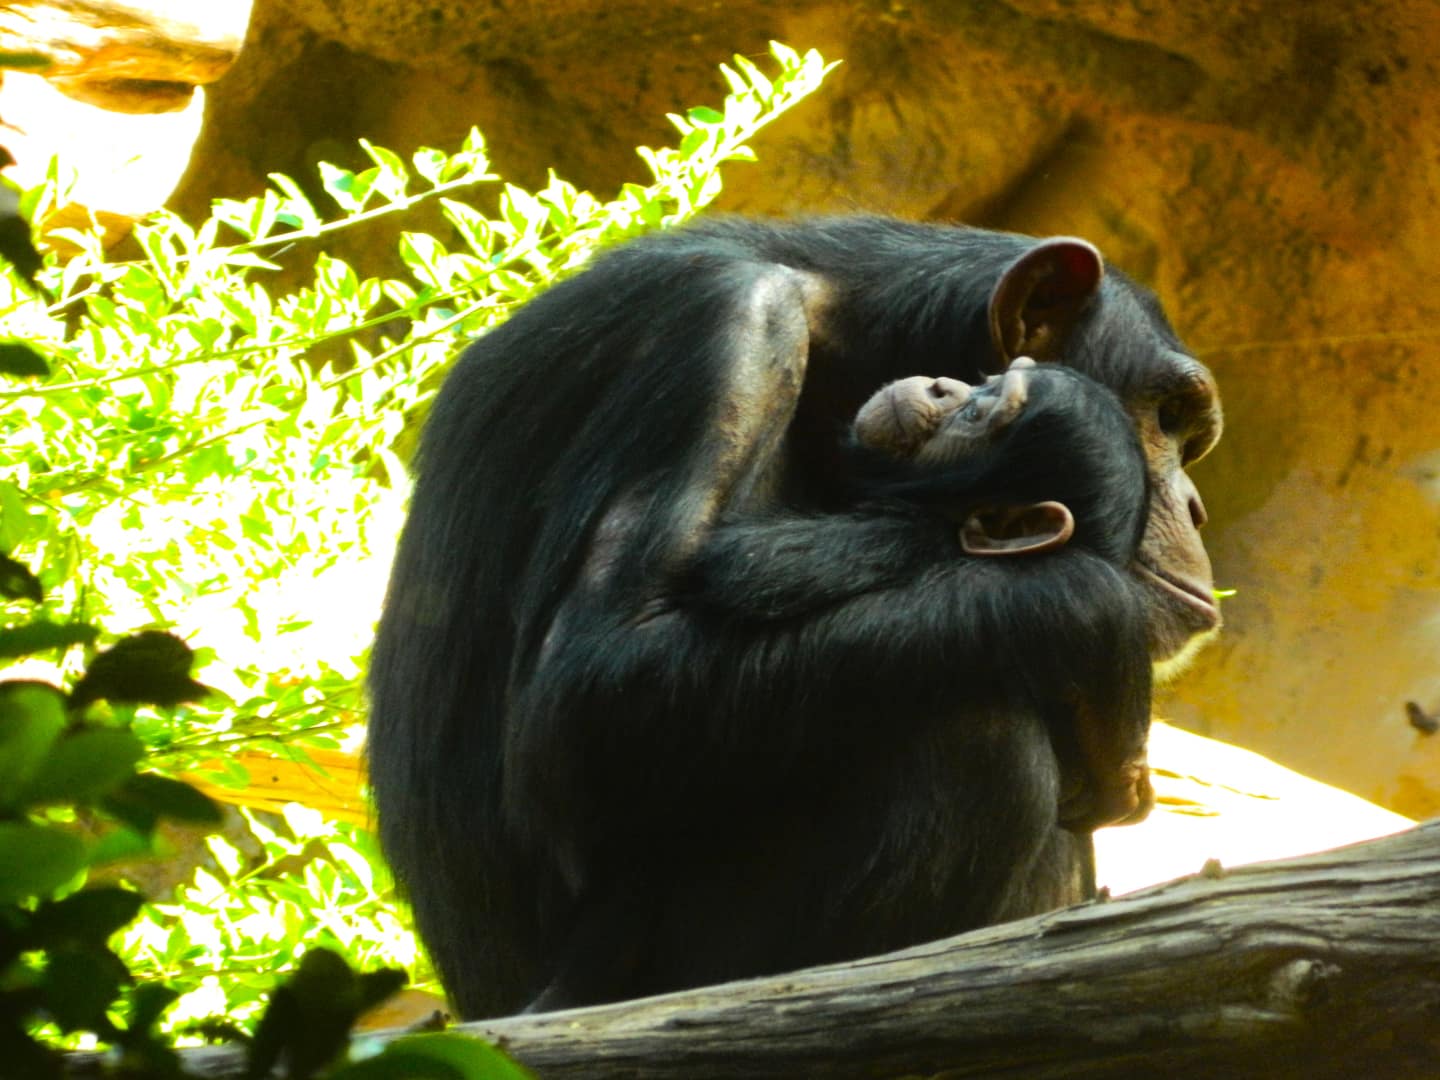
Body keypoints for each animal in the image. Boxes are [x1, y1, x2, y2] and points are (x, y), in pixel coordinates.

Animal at [365, 216, 1221, 1019]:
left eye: (1189, 432)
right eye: (1166, 415)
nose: (1196, 506)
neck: (845, 335)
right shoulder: (728, 324)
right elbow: (588, 692)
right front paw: (1095, 614)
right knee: (979, 726)